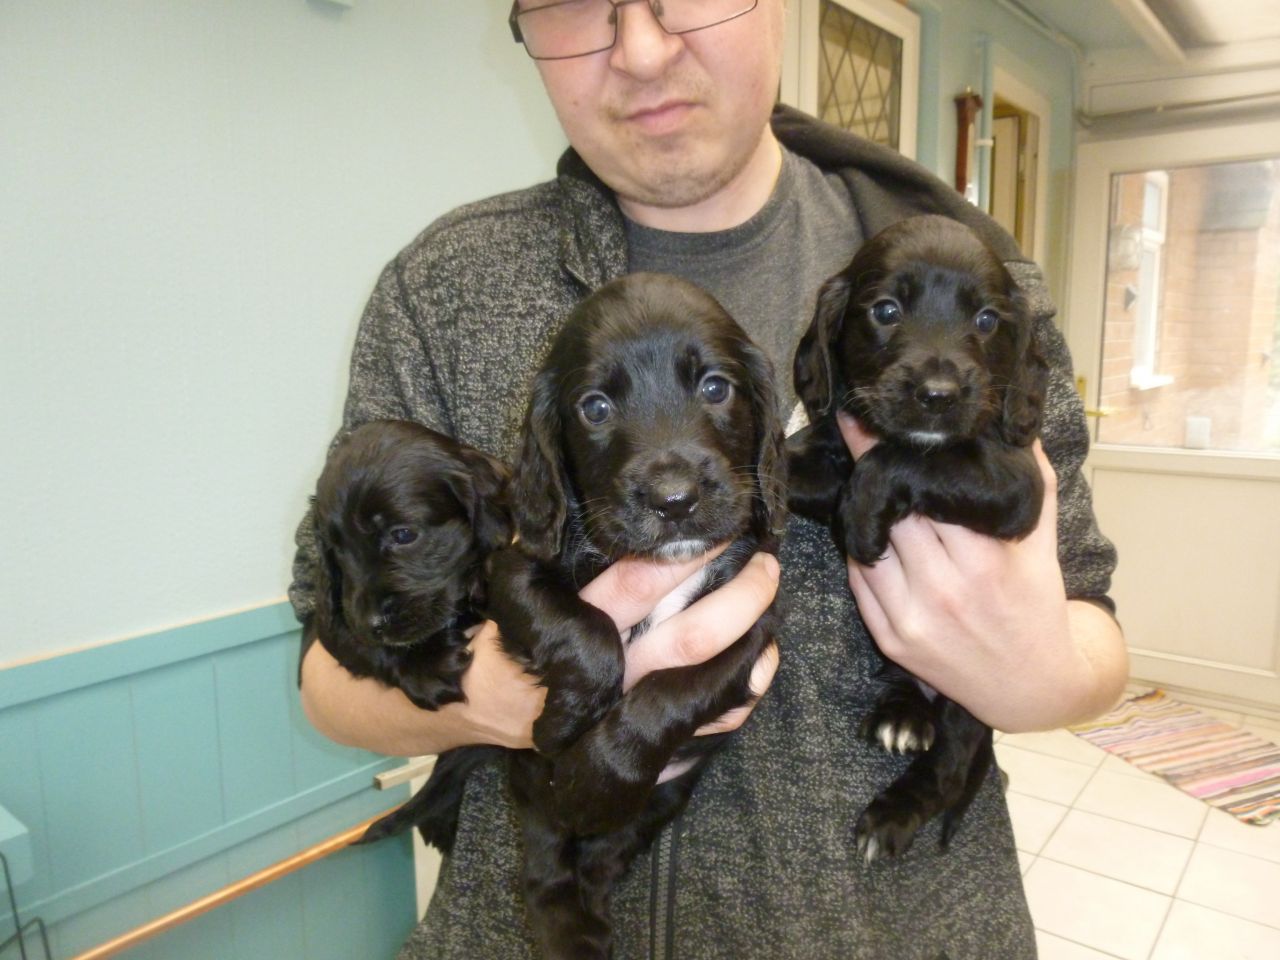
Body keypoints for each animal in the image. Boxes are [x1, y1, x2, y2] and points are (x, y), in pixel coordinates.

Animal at [304, 422, 509, 716]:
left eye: (402, 535)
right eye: (335, 549)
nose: (371, 624)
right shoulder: (331, 619)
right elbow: (357, 643)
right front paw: (424, 665)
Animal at [373, 272, 783, 960]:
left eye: (715, 387)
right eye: (595, 407)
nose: (674, 501)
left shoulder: (748, 623)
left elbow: (669, 693)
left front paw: (594, 776)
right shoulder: (514, 570)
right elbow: (587, 633)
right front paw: (565, 721)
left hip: (656, 801)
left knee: (599, 859)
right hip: (537, 811)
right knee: (545, 873)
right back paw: (571, 933)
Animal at [788, 216, 1049, 865]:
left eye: (987, 319)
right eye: (885, 310)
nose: (937, 393)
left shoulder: (1016, 483)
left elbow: (913, 456)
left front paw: (863, 511)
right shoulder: (827, 454)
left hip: (972, 693)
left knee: (950, 769)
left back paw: (891, 816)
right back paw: (902, 716)